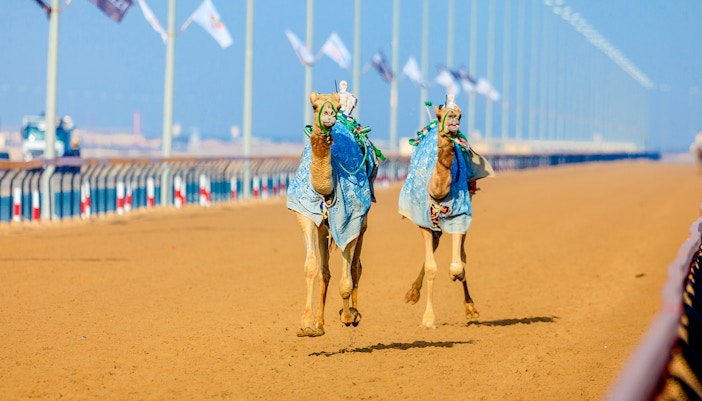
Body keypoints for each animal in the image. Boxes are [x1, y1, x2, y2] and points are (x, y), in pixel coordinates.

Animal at [286, 91, 380, 337]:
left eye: (337, 107)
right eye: (314, 105)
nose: (328, 115)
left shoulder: (350, 221)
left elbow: (346, 278)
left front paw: (347, 317)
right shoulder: (306, 215)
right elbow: (311, 267)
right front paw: (307, 324)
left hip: (362, 223)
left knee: (356, 266)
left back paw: (354, 313)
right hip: (323, 227)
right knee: (325, 271)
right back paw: (320, 324)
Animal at [398, 96, 494, 328]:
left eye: (460, 114)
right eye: (441, 114)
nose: (452, 121)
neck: (438, 192)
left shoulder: (460, 216)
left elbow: (458, 264)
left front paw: (457, 280)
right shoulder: (423, 221)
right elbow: (431, 267)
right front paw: (427, 319)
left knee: (461, 255)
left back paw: (470, 307)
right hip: (432, 226)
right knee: (432, 250)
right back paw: (412, 294)